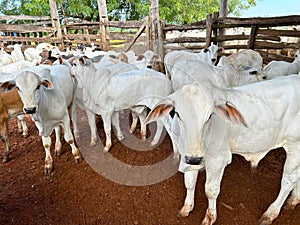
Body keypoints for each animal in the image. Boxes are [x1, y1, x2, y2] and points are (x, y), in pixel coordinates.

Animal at [145, 76, 300, 225]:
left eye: (209, 116)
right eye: (177, 113)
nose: (195, 159)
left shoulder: (217, 160)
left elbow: (210, 190)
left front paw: (210, 218)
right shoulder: (187, 156)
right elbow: (189, 182)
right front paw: (186, 208)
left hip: (295, 146)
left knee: (288, 180)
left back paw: (271, 213)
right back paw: (294, 200)